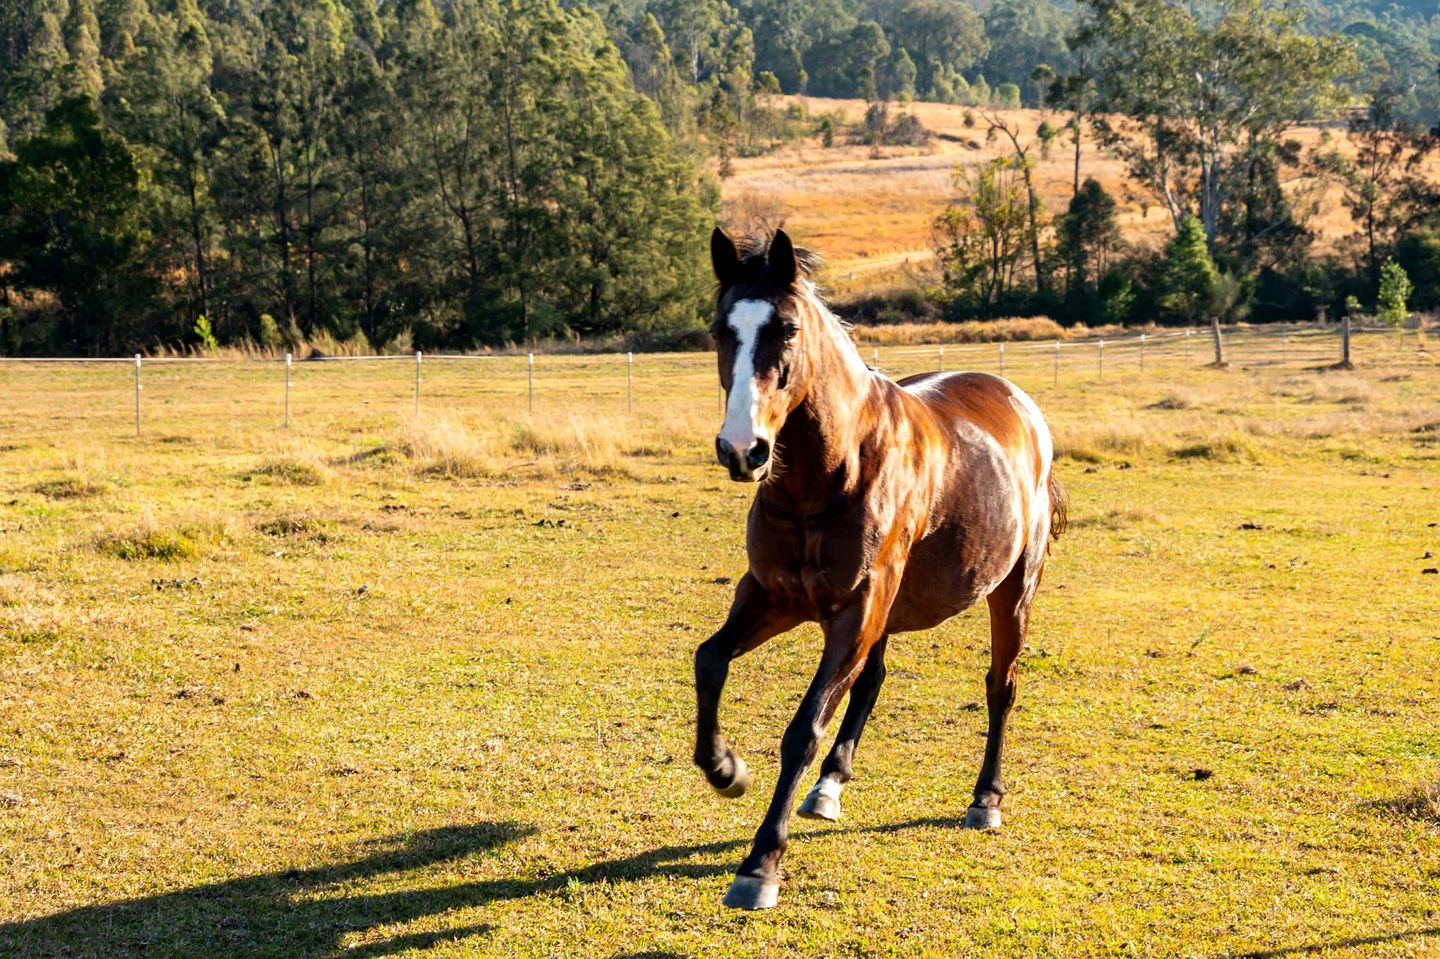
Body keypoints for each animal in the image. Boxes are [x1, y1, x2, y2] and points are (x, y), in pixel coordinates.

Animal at [694, 227, 1068, 910]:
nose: (742, 450)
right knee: (872, 680)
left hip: (1011, 592)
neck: (830, 475)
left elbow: (803, 730)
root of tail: (1019, 403)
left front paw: (760, 865)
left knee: (1000, 688)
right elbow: (709, 660)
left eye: (787, 328)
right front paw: (726, 771)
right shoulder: (770, 597)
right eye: (719, 329)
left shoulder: (854, 613)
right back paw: (828, 788)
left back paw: (985, 799)